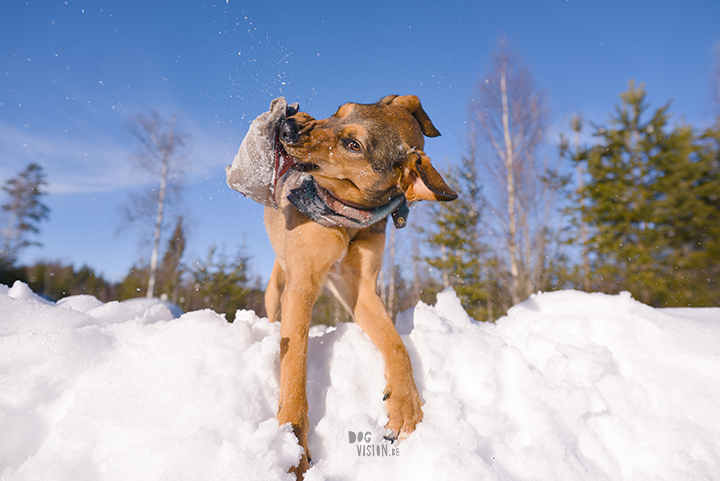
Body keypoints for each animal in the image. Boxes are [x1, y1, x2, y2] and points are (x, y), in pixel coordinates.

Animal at [262, 94, 456, 476]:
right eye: (339, 111)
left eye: (354, 145)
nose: (288, 126)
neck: (348, 215)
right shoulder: (302, 283)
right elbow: (294, 367)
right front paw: (293, 445)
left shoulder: (362, 290)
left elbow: (396, 343)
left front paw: (406, 404)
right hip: (279, 280)